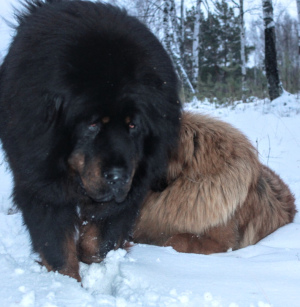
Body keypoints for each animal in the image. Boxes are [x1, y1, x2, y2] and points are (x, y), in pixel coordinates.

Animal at [0, 0, 180, 282]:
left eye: (133, 125)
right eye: (93, 124)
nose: (118, 177)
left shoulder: (133, 188)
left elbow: (98, 243)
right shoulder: (40, 181)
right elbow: (57, 247)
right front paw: (67, 284)